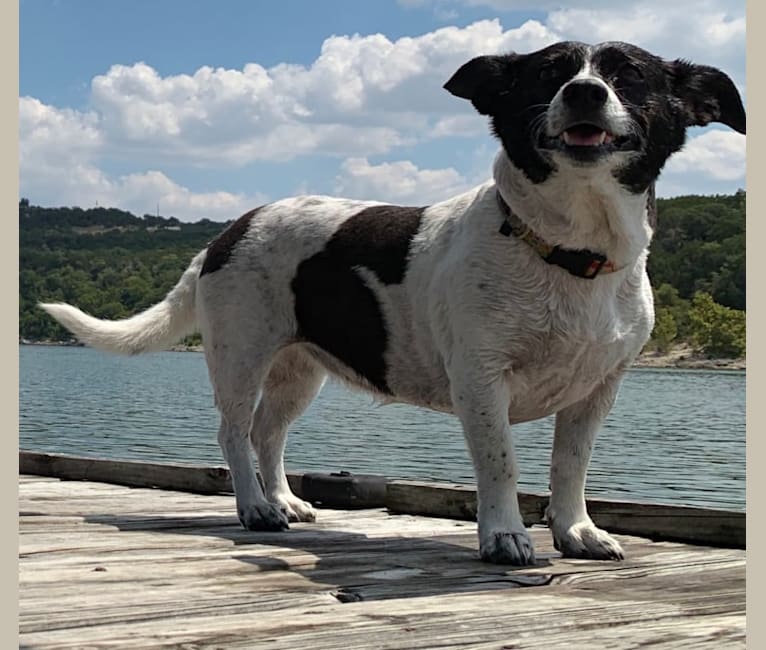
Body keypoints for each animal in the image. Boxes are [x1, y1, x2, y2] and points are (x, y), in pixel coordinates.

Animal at [39, 43, 748, 564]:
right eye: (549, 72)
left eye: (628, 75)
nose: (584, 92)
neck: (568, 249)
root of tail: (226, 231)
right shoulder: (481, 382)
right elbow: (502, 464)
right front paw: (505, 536)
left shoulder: (598, 390)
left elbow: (569, 466)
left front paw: (575, 532)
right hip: (241, 356)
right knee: (234, 433)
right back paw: (256, 507)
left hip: (299, 371)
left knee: (268, 433)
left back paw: (285, 500)